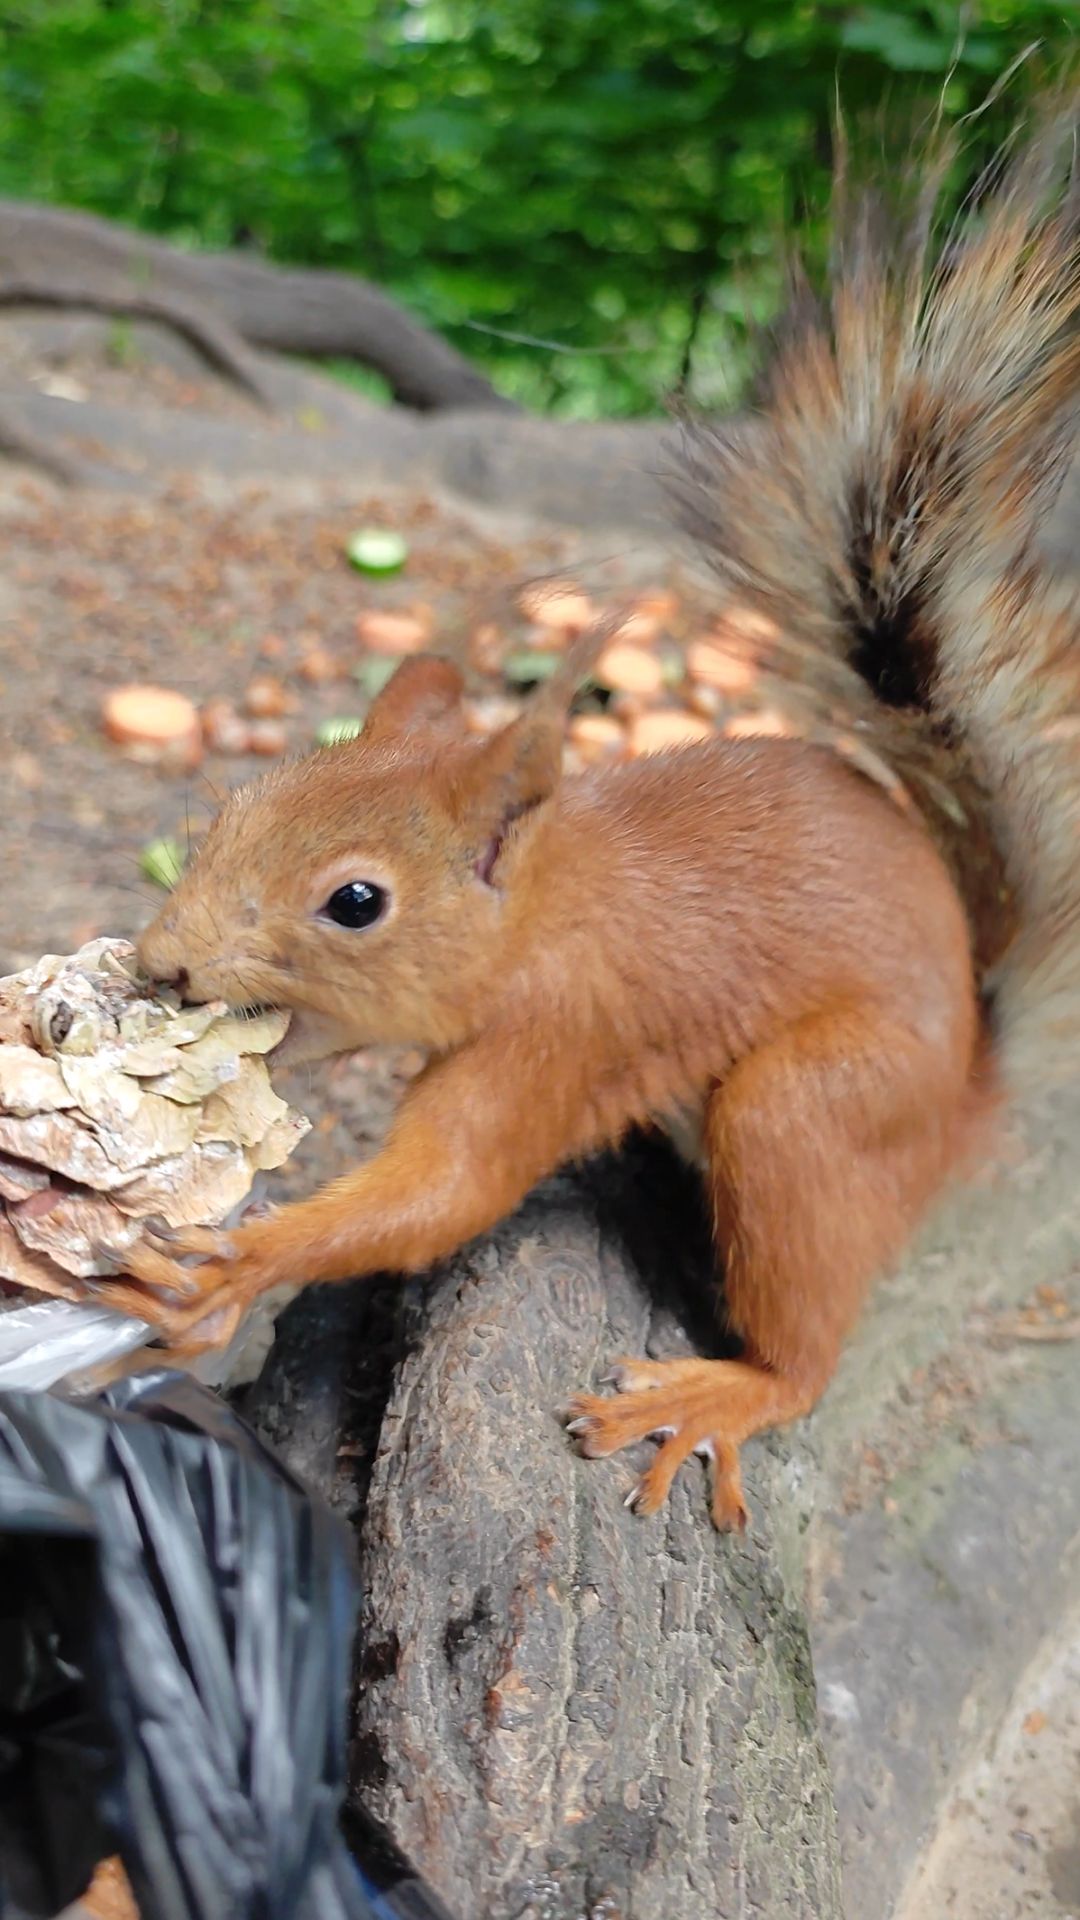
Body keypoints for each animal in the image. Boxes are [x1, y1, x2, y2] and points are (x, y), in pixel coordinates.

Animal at [104, 111, 1080, 1531]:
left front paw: (236, 1266)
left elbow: (446, 1190)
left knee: (804, 1339)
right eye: (238, 802)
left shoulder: (562, 1036)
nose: (162, 964)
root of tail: (964, 1081)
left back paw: (726, 1391)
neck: (542, 910)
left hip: (810, 1107)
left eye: (357, 902)